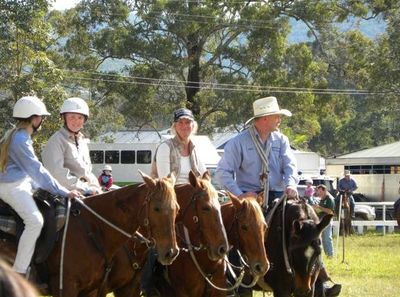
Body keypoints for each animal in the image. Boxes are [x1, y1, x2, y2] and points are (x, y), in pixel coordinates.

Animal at [0, 172, 179, 294]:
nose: (171, 252)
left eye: (176, 208)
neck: (94, 228)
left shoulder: (112, 289)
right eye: (156, 208)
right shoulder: (67, 287)